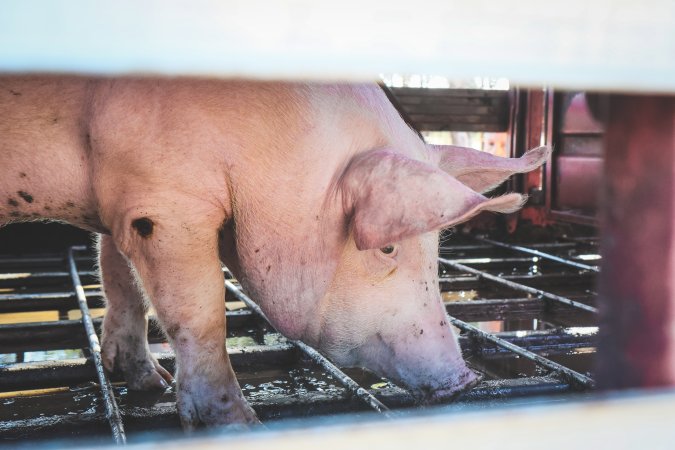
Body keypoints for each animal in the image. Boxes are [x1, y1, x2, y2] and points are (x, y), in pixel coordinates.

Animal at [0, 77, 548, 428]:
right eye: (388, 246)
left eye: (436, 249)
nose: (466, 381)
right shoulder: (162, 202)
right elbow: (200, 314)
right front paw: (240, 424)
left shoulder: (122, 200)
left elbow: (120, 277)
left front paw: (148, 383)